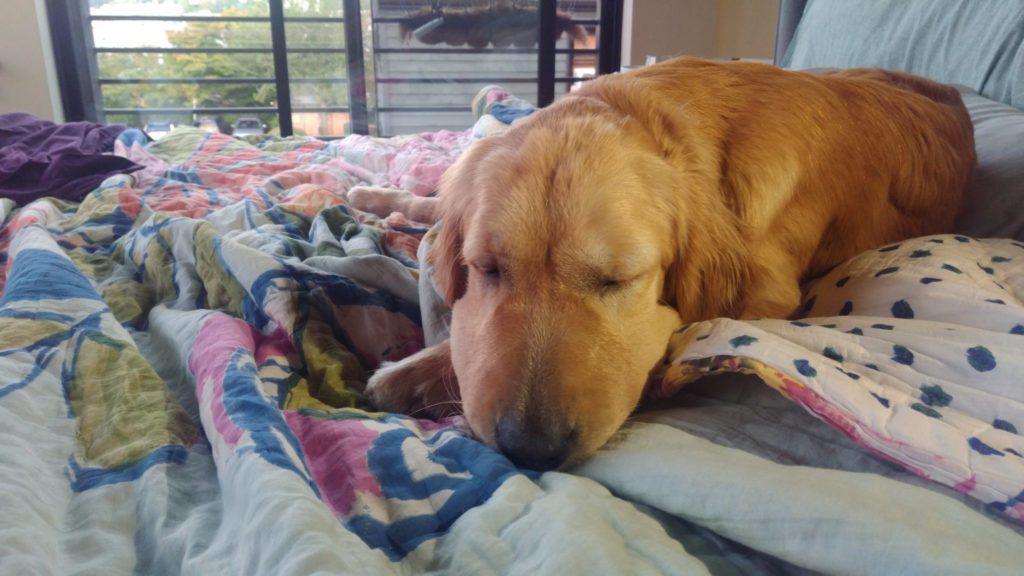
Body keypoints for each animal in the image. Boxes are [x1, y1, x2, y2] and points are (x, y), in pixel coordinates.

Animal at [346, 57, 974, 471]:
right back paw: (375, 196)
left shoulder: (768, 296)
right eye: (488, 269)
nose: (530, 450)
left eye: (619, 280)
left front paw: (409, 375)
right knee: (436, 198)